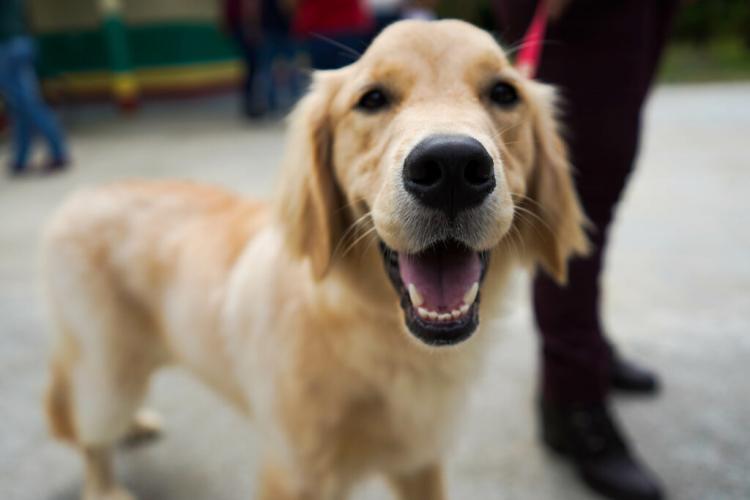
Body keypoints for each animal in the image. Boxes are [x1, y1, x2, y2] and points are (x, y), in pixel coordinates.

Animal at [42, 19, 588, 500]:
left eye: (503, 93)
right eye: (372, 99)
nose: (451, 167)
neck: (375, 337)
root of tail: (80, 197)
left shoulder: (420, 460)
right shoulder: (292, 474)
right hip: (108, 368)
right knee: (91, 435)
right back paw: (105, 486)